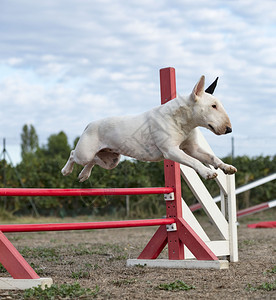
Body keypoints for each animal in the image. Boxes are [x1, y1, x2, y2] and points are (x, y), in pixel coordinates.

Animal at [61, 76, 236, 182]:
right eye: (213, 106)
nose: (229, 129)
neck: (182, 120)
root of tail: (89, 124)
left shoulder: (192, 148)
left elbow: (211, 157)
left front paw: (226, 167)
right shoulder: (171, 150)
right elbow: (193, 161)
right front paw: (208, 173)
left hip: (111, 160)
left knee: (93, 161)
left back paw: (84, 175)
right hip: (85, 152)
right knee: (74, 154)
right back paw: (66, 170)